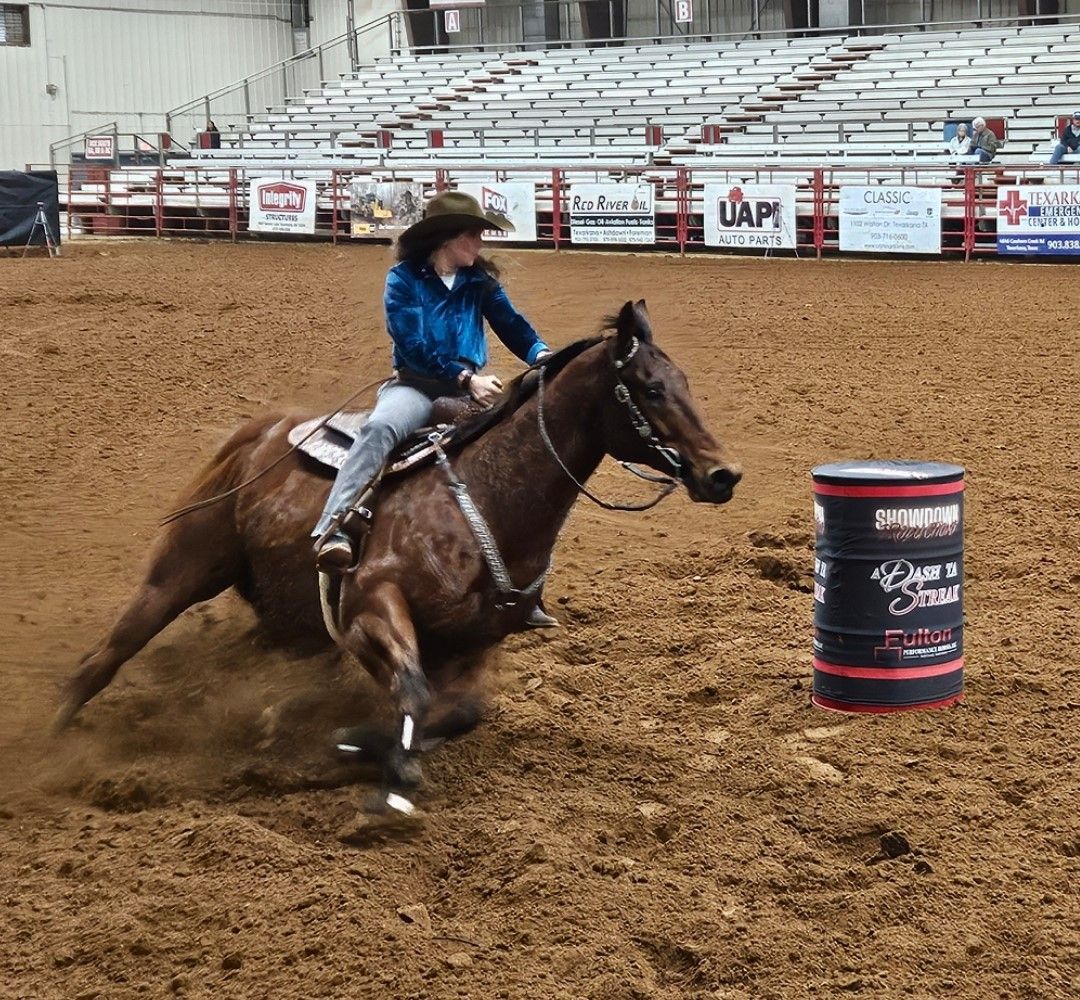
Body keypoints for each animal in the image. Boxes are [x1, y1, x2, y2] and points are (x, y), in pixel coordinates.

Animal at [59, 300, 743, 812]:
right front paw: (384, 779)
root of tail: (257, 433)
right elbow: (414, 693)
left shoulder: (472, 643)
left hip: (282, 616)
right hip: (180, 572)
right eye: (650, 389)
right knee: (103, 658)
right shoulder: (368, 608)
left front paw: (362, 744)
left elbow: (457, 711)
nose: (723, 474)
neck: (488, 496)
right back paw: (55, 738)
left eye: (685, 384)